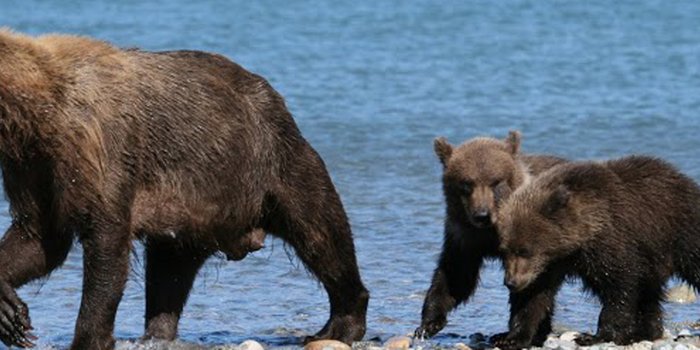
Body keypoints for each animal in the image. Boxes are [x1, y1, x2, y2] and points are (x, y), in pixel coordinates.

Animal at [0, 28, 370, 348]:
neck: (36, 112)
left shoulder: (99, 146)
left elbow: (106, 243)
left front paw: (89, 338)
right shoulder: (32, 165)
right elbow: (39, 237)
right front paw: (9, 311)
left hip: (272, 163)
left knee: (320, 231)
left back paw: (341, 322)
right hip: (189, 212)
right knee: (169, 275)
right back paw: (156, 332)